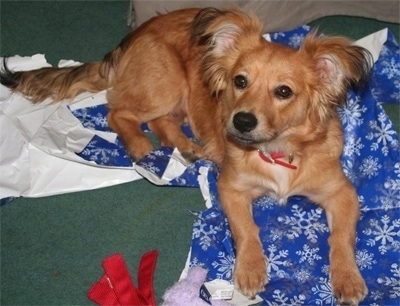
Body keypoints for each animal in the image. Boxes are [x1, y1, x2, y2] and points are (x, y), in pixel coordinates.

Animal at [2, 8, 372, 304]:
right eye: (240, 81)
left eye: (284, 92)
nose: (241, 121)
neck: (276, 152)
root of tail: (133, 36)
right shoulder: (231, 188)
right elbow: (246, 228)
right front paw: (251, 268)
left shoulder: (343, 193)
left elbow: (341, 236)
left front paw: (348, 278)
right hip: (164, 83)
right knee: (119, 112)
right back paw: (141, 147)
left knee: (160, 120)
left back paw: (189, 148)